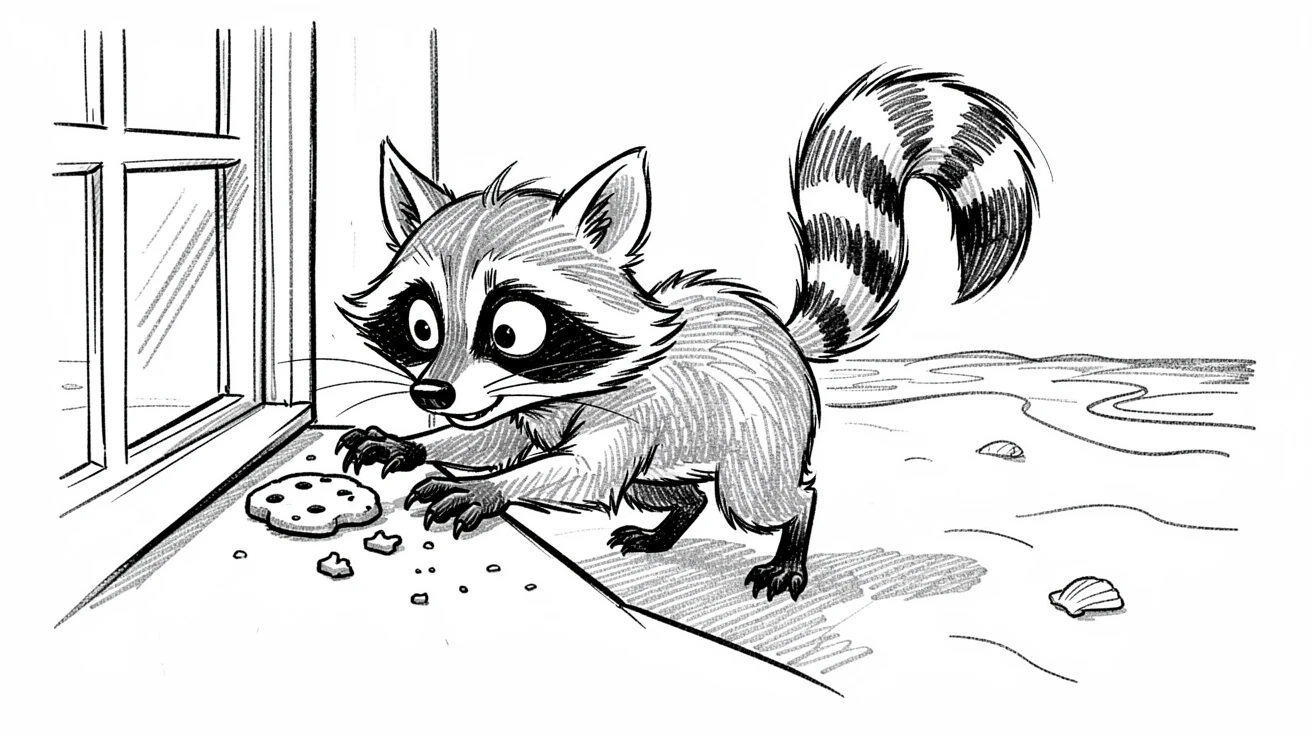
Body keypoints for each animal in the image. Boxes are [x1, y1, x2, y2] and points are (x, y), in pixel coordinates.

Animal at [337, 66, 1039, 601]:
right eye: (422, 325)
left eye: (511, 331)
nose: (431, 394)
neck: (553, 389)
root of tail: (782, 334)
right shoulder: (522, 409)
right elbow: (491, 440)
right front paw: (411, 442)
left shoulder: (629, 410)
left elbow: (577, 473)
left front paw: (487, 489)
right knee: (665, 488)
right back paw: (672, 519)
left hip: (760, 435)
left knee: (769, 497)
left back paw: (791, 535)